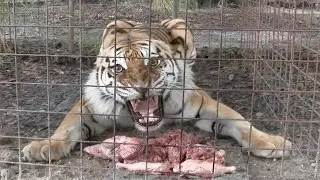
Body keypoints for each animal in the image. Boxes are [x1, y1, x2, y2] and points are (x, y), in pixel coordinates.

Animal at [21, 19, 292, 162]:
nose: (141, 88)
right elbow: (66, 126)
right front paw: (43, 147)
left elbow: (241, 121)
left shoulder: (203, 102)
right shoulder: (89, 106)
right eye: (118, 68)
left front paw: (273, 142)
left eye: (152, 62)